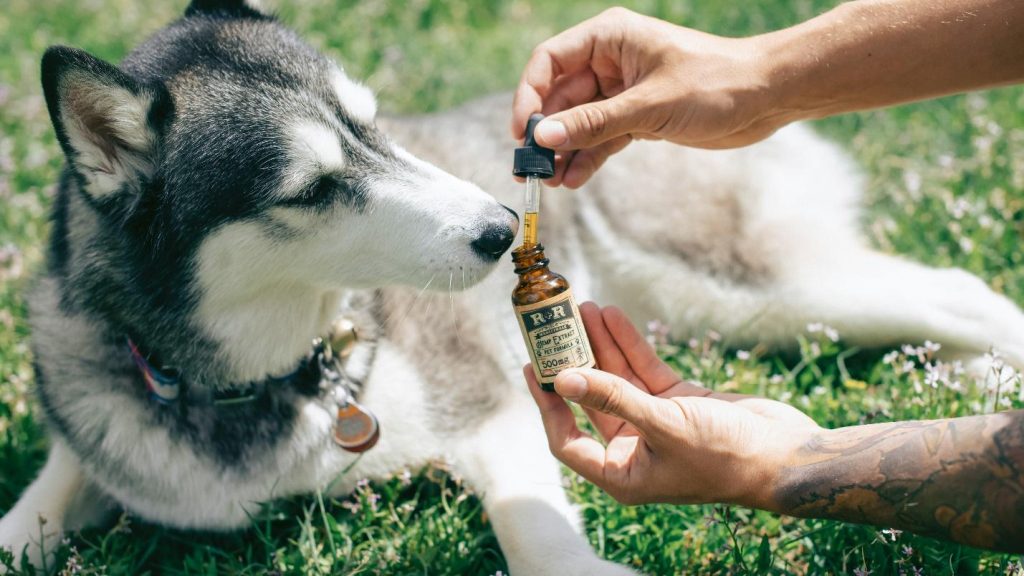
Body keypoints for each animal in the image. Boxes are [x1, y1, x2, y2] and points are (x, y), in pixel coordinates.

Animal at [6, 0, 1024, 569]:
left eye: (379, 126)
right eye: (311, 188)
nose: (501, 229)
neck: (268, 382)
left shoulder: (491, 400)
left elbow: (529, 530)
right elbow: (38, 510)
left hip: (744, 285)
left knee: (958, 289)